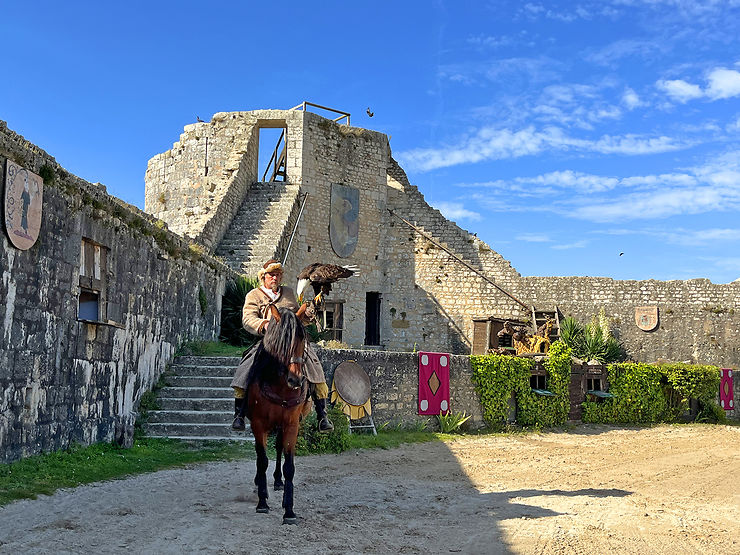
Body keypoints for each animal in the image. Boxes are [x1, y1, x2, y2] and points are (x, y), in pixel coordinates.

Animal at [244, 304, 310, 524]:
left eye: (302, 339)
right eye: (282, 344)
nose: (296, 380)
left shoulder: (291, 424)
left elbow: (289, 466)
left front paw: (289, 510)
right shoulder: (258, 424)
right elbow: (262, 459)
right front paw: (262, 502)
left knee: (279, 447)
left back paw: (278, 482)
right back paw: (260, 483)